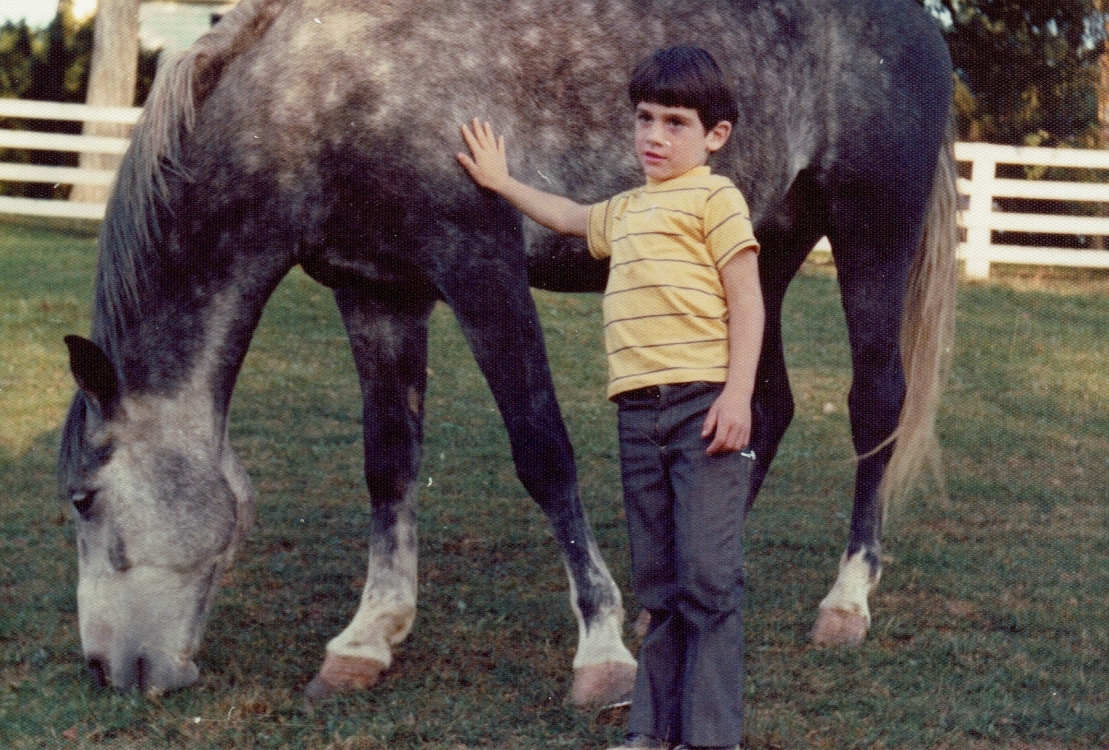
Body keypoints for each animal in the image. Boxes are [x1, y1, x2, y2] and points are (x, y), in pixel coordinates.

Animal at [58, 0, 957, 698]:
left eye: (84, 498)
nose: (108, 669)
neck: (329, 88)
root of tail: (917, 22)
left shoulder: (480, 269)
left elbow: (542, 451)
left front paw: (600, 652)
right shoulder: (377, 292)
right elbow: (389, 460)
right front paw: (367, 638)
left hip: (869, 233)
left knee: (874, 404)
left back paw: (845, 602)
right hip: (756, 254)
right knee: (757, 408)